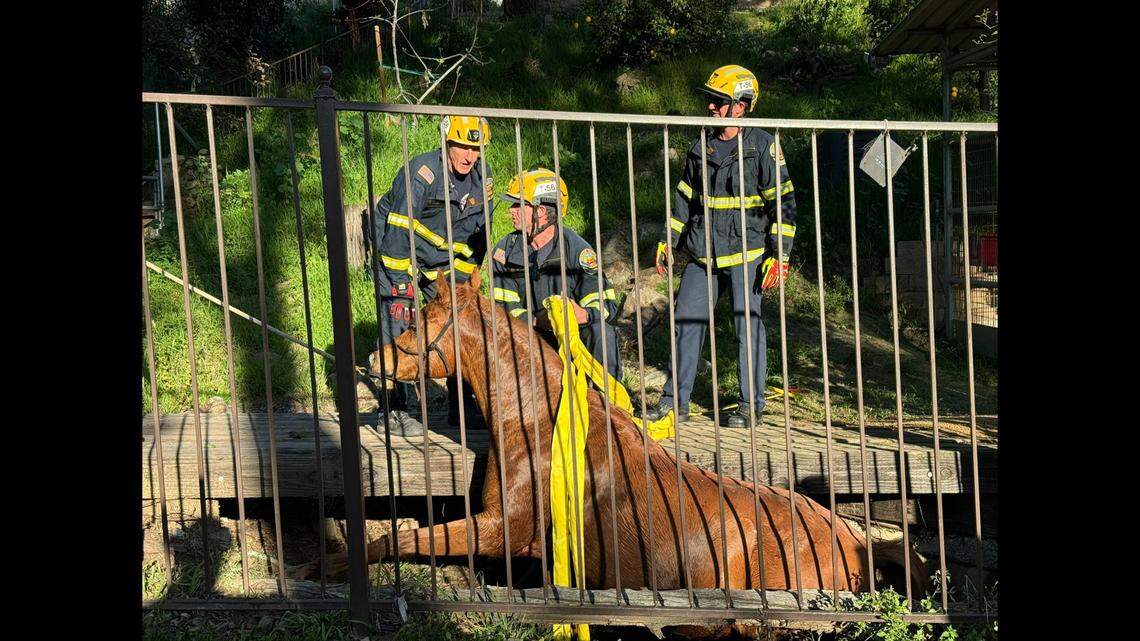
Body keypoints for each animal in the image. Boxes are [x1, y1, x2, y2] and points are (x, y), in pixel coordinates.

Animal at [298, 270, 923, 634]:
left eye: (422, 320)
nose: (374, 359)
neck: (536, 420)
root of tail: (861, 544)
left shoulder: (506, 528)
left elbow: (399, 539)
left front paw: (319, 565)